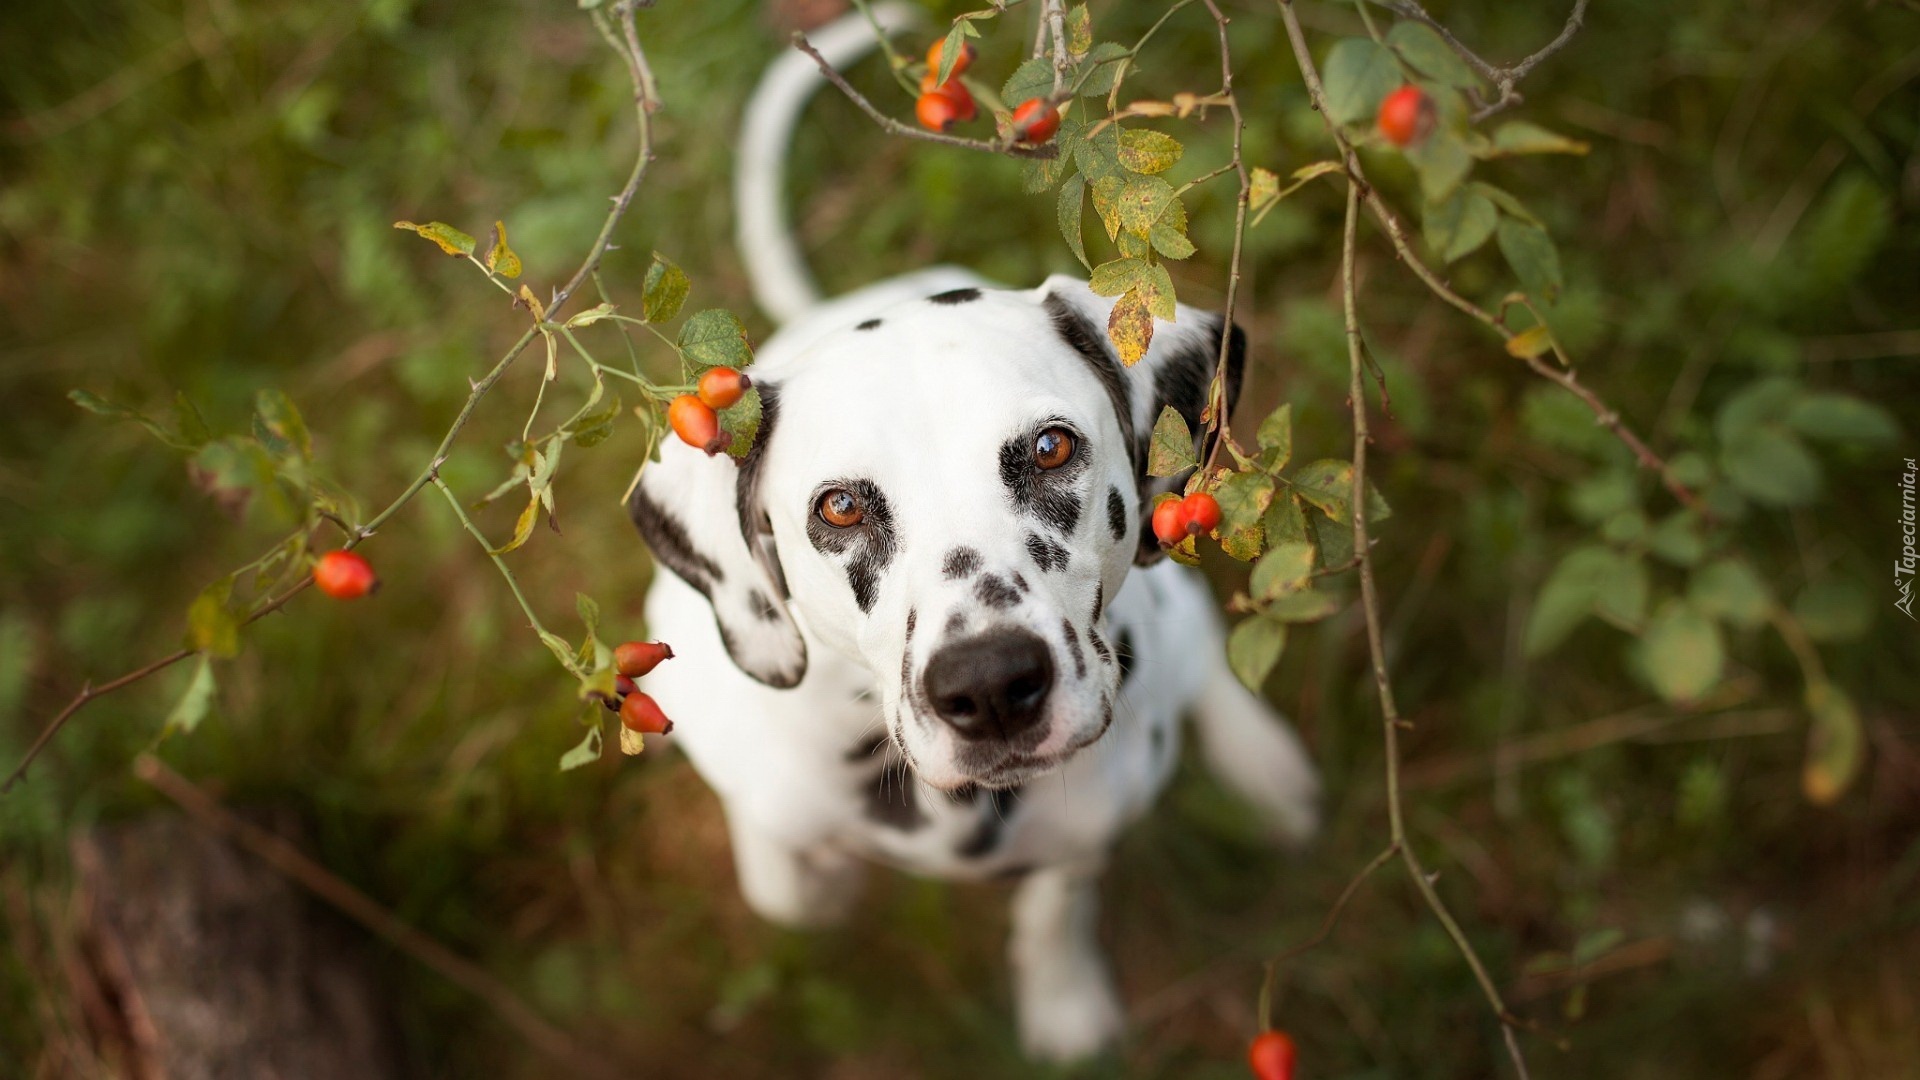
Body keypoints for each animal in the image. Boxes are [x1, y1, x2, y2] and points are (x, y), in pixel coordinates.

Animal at [629, 2, 1320, 1060]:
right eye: (839, 506)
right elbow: (788, 881)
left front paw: (1063, 1001)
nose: (991, 687)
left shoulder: (1089, 832)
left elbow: (1056, 906)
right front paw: (820, 870)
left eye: (1049, 448)